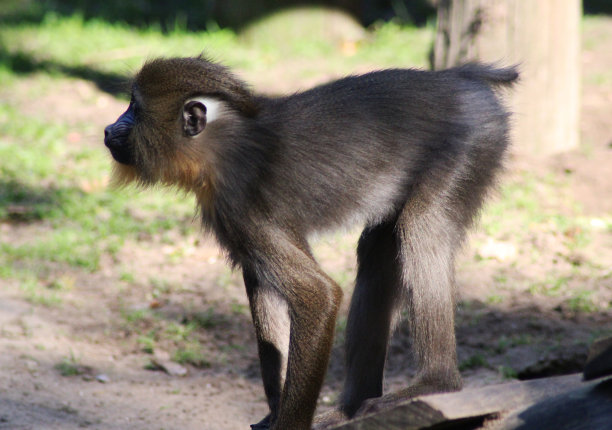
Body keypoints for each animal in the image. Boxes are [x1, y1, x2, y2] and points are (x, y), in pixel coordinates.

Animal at [104, 57, 516, 430]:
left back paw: (436, 382)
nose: (109, 128)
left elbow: (318, 294)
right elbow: (265, 292)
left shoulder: (241, 207)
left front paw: (288, 422)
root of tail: (459, 78)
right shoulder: (239, 226)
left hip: (472, 144)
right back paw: (352, 407)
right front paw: (273, 414)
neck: (225, 145)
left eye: (134, 108)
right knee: (378, 250)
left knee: (422, 227)